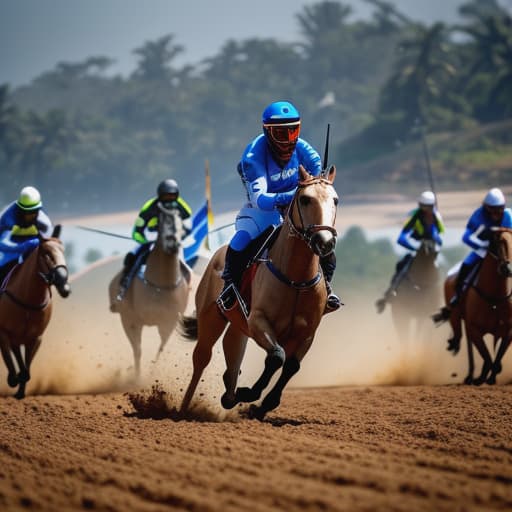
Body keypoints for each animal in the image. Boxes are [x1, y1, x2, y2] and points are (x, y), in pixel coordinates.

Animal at [0, 225, 70, 400]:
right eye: (47, 254)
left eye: (63, 252)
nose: (65, 287)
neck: (28, 300)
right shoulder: (3, 332)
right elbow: (10, 361)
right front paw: (13, 379)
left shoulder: (36, 337)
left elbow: (26, 370)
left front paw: (20, 391)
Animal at [108, 204, 190, 376]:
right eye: (163, 222)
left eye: (181, 225)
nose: (173, 242)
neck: (160, 285)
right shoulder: (131, 320)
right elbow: (137, 351)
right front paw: (136, 377)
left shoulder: (169, 322)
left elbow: (161, 349)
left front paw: (152, 372)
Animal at [178, 166, 338, 422]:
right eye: (304, 199)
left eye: (335, 200)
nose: (325, 242)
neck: (296, 278)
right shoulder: (259, 321)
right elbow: (276, 357)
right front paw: (248, 394)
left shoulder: (306, 333)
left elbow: (291, 365)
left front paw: (262, 405)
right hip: (210, 317)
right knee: (201, 357)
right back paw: (183, 409)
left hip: (239, 324)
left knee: (232, 346)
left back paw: (229, 393)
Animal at [440, 226, 512, 386]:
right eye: (498, 242)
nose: (508, 268)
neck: (495, 298)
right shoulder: (474, 328)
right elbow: (486, 355)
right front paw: (481, 378)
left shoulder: (509, 330)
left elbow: (497, 355)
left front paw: (492, 376)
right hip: (457, 317)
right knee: (462, 338)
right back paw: (470, 375)